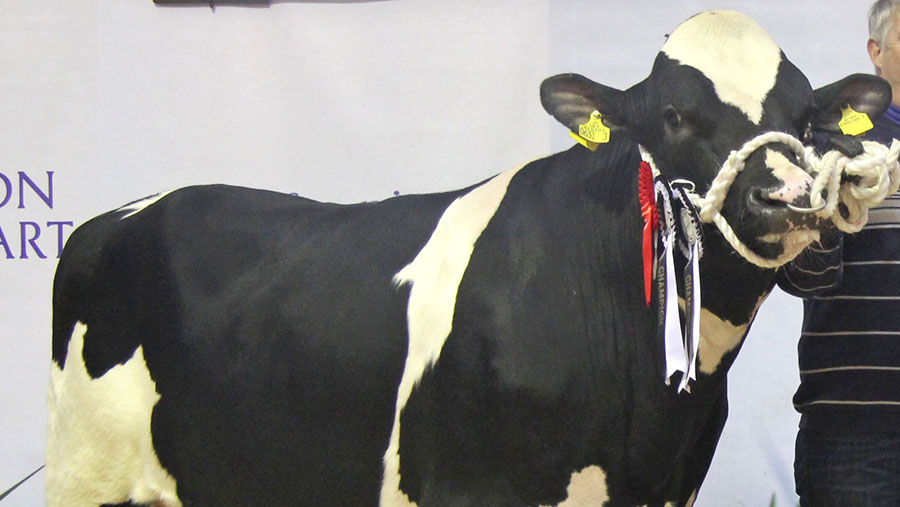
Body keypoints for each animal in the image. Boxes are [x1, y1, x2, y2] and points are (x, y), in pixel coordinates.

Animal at [45, 10, 892, 507]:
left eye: (806, 117)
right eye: (675, 114)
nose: (789, 196)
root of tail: (112, 218)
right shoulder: (470, 487)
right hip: (84, 474)